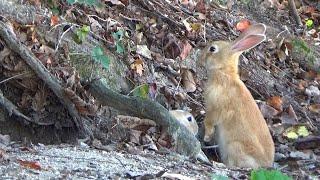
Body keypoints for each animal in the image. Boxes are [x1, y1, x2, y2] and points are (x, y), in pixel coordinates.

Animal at [199, 23, 274, 168]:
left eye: (212, 49)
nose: (200, 57)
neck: (224, 73)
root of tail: (264, 166)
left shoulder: (216, 109)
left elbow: (209, 121)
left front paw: (207, 137)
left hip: (235, 147)